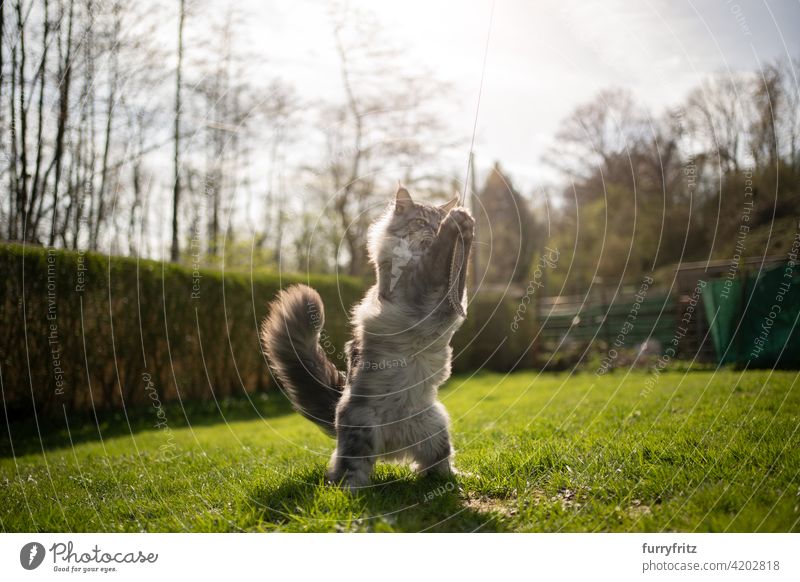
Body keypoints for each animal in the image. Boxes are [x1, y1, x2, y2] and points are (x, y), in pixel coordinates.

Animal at [262, 188, 476, 492]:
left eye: (435, 222)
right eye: (422, 222)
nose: (435, 229)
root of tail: (393, 447)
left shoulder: (447, 303)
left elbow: (459, 271)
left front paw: (465, 228)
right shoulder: (419, 289)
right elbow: (437, 259)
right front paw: (455, 223)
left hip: (436, 428)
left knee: (436, 466)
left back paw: (458, 479)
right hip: (361, 435)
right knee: (347, 473)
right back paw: (353, 493)